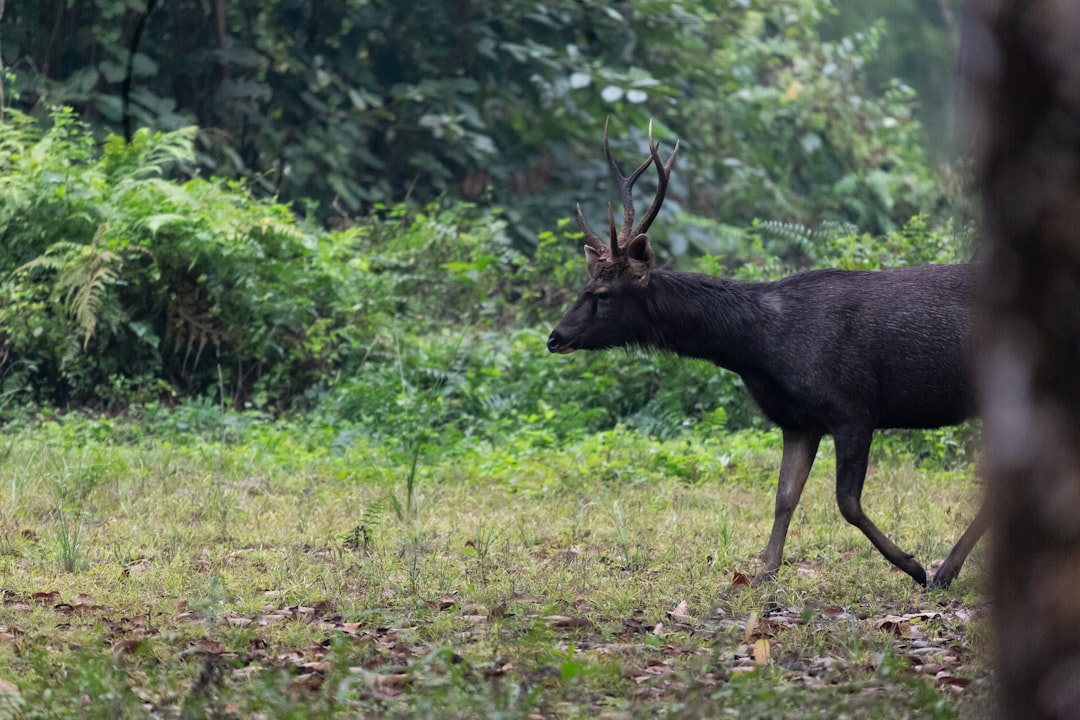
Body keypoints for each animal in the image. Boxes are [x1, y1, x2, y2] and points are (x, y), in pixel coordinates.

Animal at [547, 121, 986, 589]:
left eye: (602, 293)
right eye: (585, 286)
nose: (554, 338)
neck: (762, 350)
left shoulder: (854, 407)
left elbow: (846, 503)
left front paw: (913, 565)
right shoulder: (798, 420)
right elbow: (784, 497)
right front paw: (762, 574)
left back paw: (943, 571)